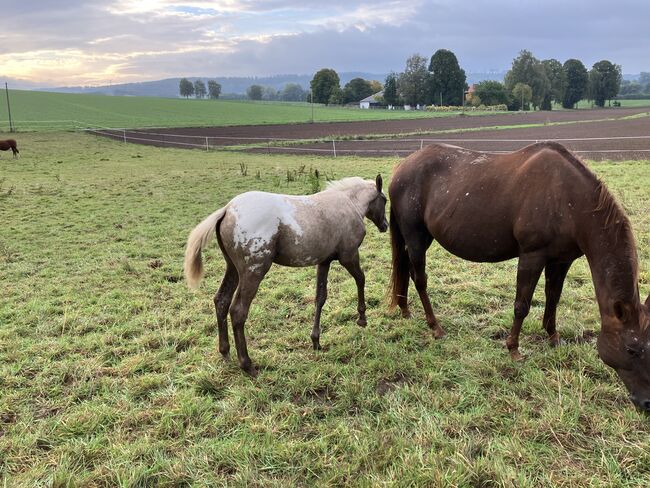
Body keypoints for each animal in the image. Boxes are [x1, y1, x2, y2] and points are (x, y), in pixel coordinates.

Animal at [388, 142, 648, 412]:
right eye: (632, 349)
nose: (646, 402)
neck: (569, 199)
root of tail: (402, 167)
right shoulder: (532, 256)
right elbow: (521, 306)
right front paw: (513, 349)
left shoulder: (561, 260)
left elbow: (553, 298)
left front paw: (553, 337)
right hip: (416, 238)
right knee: (420, 279)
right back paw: (435, 327)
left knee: (407, 272)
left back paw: (405, 310)